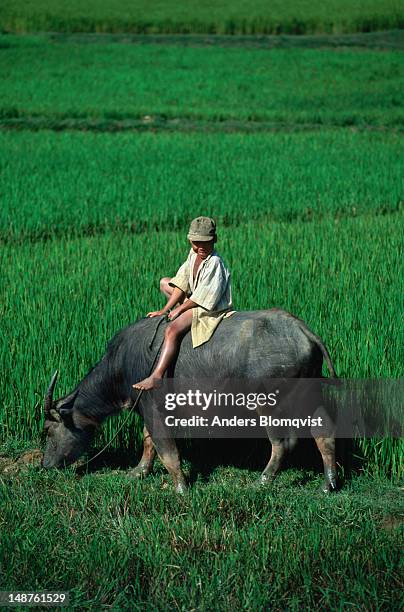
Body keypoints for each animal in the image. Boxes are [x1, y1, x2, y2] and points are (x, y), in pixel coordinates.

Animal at [41, 310, 338, 492]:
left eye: (48, 430)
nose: (44, 465)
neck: (120, 366)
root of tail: (303, 332)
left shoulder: (151, 407)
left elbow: (166, 449)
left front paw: (181, 486)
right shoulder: (150, 410)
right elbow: (148, 441)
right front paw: (138, 471)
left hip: (269, 404)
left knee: (282, 442)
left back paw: (262, 481)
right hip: (309, 397)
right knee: (324, 433)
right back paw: (329, 483)